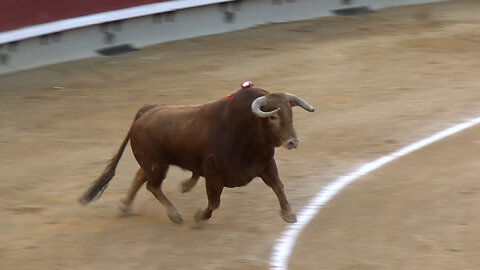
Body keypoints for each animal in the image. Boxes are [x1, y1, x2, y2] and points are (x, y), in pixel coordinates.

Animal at [79, 86, 316, 224]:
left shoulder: (266, 164)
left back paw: (125, 206)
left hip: (153, 163)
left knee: (140, 178)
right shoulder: (214, 176)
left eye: (290, 112)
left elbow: (278, 186)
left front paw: (289, 214)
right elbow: (214, 202)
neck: (245, 132)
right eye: (273, 116)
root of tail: (146, 112)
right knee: (152, 186)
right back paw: (175, 215)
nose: (293, 142)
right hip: (157, 164)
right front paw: (200, 216)